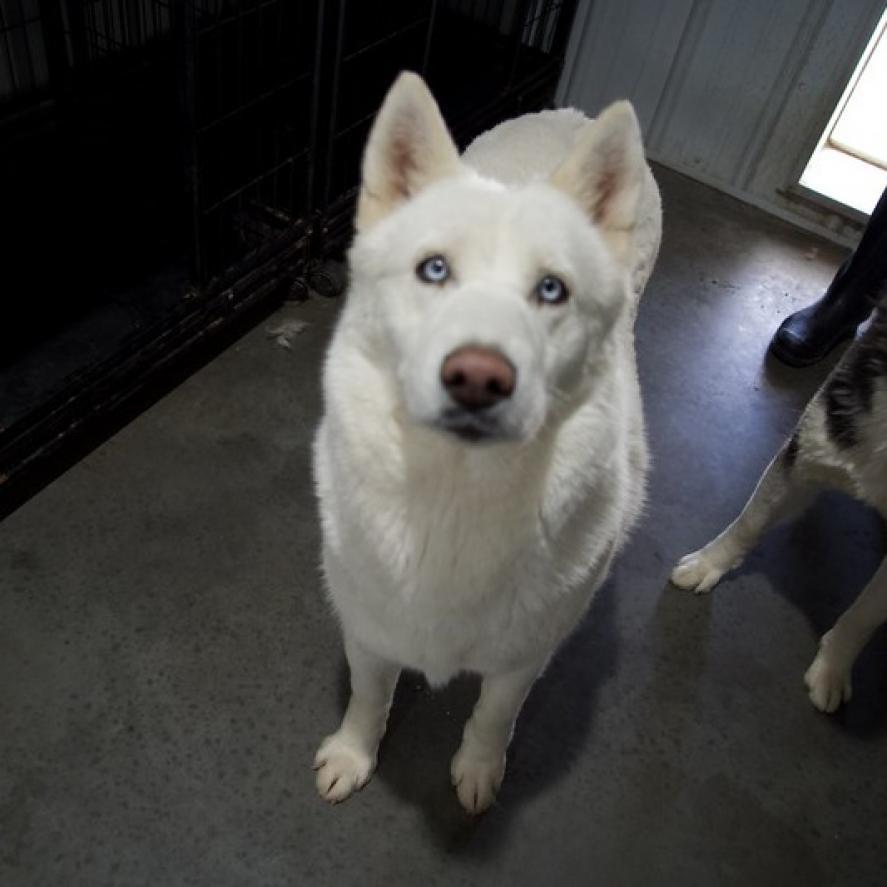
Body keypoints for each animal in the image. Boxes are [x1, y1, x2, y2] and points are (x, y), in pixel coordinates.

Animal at [312, 73, 660, 816]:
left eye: (551, 289)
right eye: (434, 270)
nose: (478, 376)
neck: (452, 500)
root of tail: (573, 113)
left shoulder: (523, 657)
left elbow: (494, 716)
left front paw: (477, 769)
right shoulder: (367, 628)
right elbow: (369, 696)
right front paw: (354, 754)